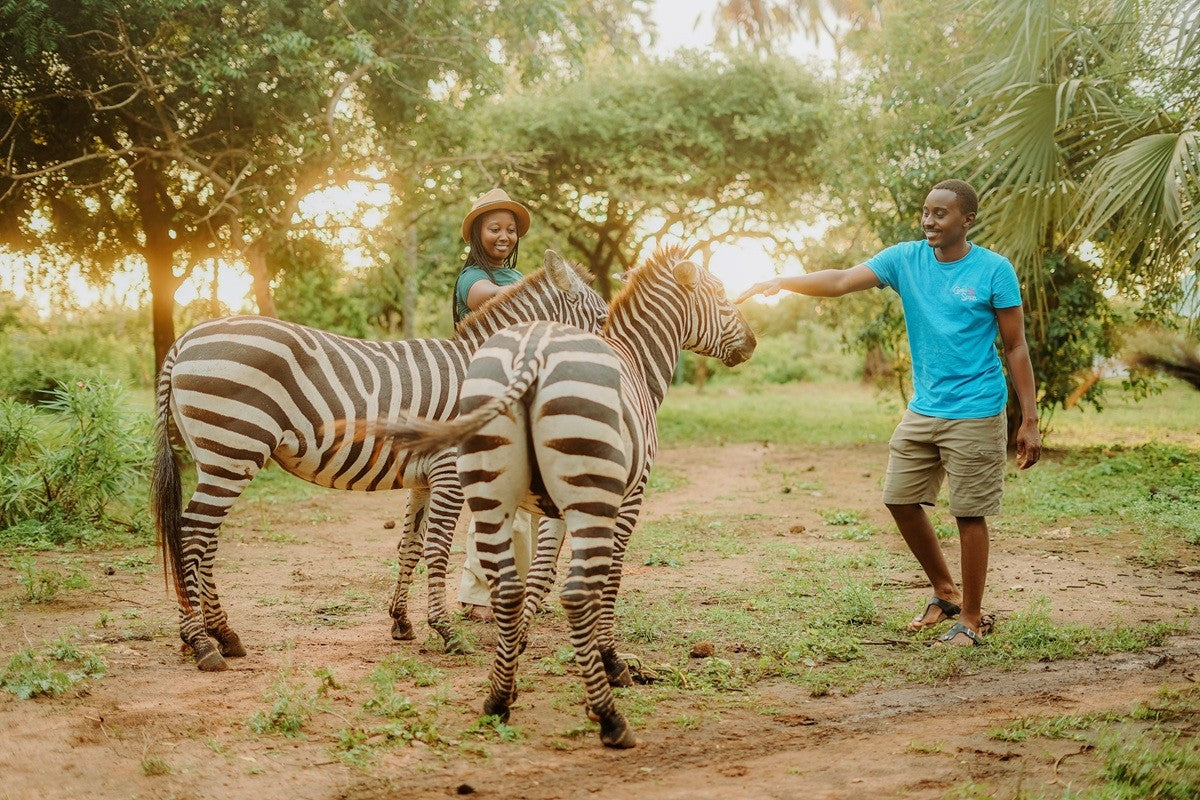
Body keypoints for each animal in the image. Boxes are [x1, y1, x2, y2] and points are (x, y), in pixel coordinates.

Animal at [151, 249, 607, 672]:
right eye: (602, 319)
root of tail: (184, 340)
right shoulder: (449, 472)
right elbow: (437, 549)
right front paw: (447, 631)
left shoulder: (424, 477)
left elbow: (411, 545)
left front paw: (402, 621)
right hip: (232, 450)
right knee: (190, 535)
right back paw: (201, 642)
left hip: (219, 458)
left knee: (205, 539)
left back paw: (223, 634)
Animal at [368, 245, 757, 747]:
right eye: (722, 296)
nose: (753, 343)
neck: (635, 362)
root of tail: (531, 357)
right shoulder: (627, 496)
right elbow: (607, 578)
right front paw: (609, 661)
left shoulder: (552, 508)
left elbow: (538, 575)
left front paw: (518, 648)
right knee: (573, 591)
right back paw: (610, 719)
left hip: (492, 491)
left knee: (503, 584)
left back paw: (497, 699)